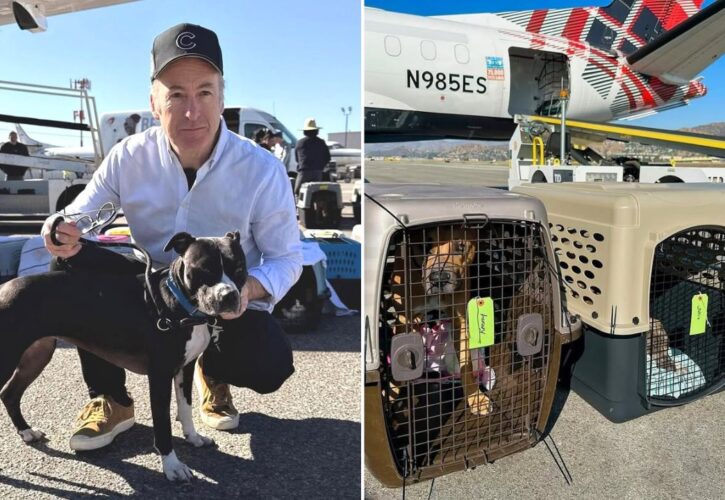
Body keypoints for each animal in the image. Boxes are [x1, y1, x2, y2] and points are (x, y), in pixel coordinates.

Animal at [0, 230, 246, 480]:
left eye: (239, 269)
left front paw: (193, 438)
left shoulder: (184, 369)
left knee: (10, 394)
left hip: (37, 355)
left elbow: (185, 408)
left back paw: (26, 431)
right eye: (204, 270)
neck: (179, 305)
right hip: (9, 357)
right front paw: (172, 466)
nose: (228, 296)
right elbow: (163, 424)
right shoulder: (159, 376)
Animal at [378, 219, 556, 472]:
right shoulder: (404, 318)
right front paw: (393, 395)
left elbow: (465, 365)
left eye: (460, 246)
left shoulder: (461, 318)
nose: (439, 279)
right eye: (425, 246)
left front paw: (476, 399)